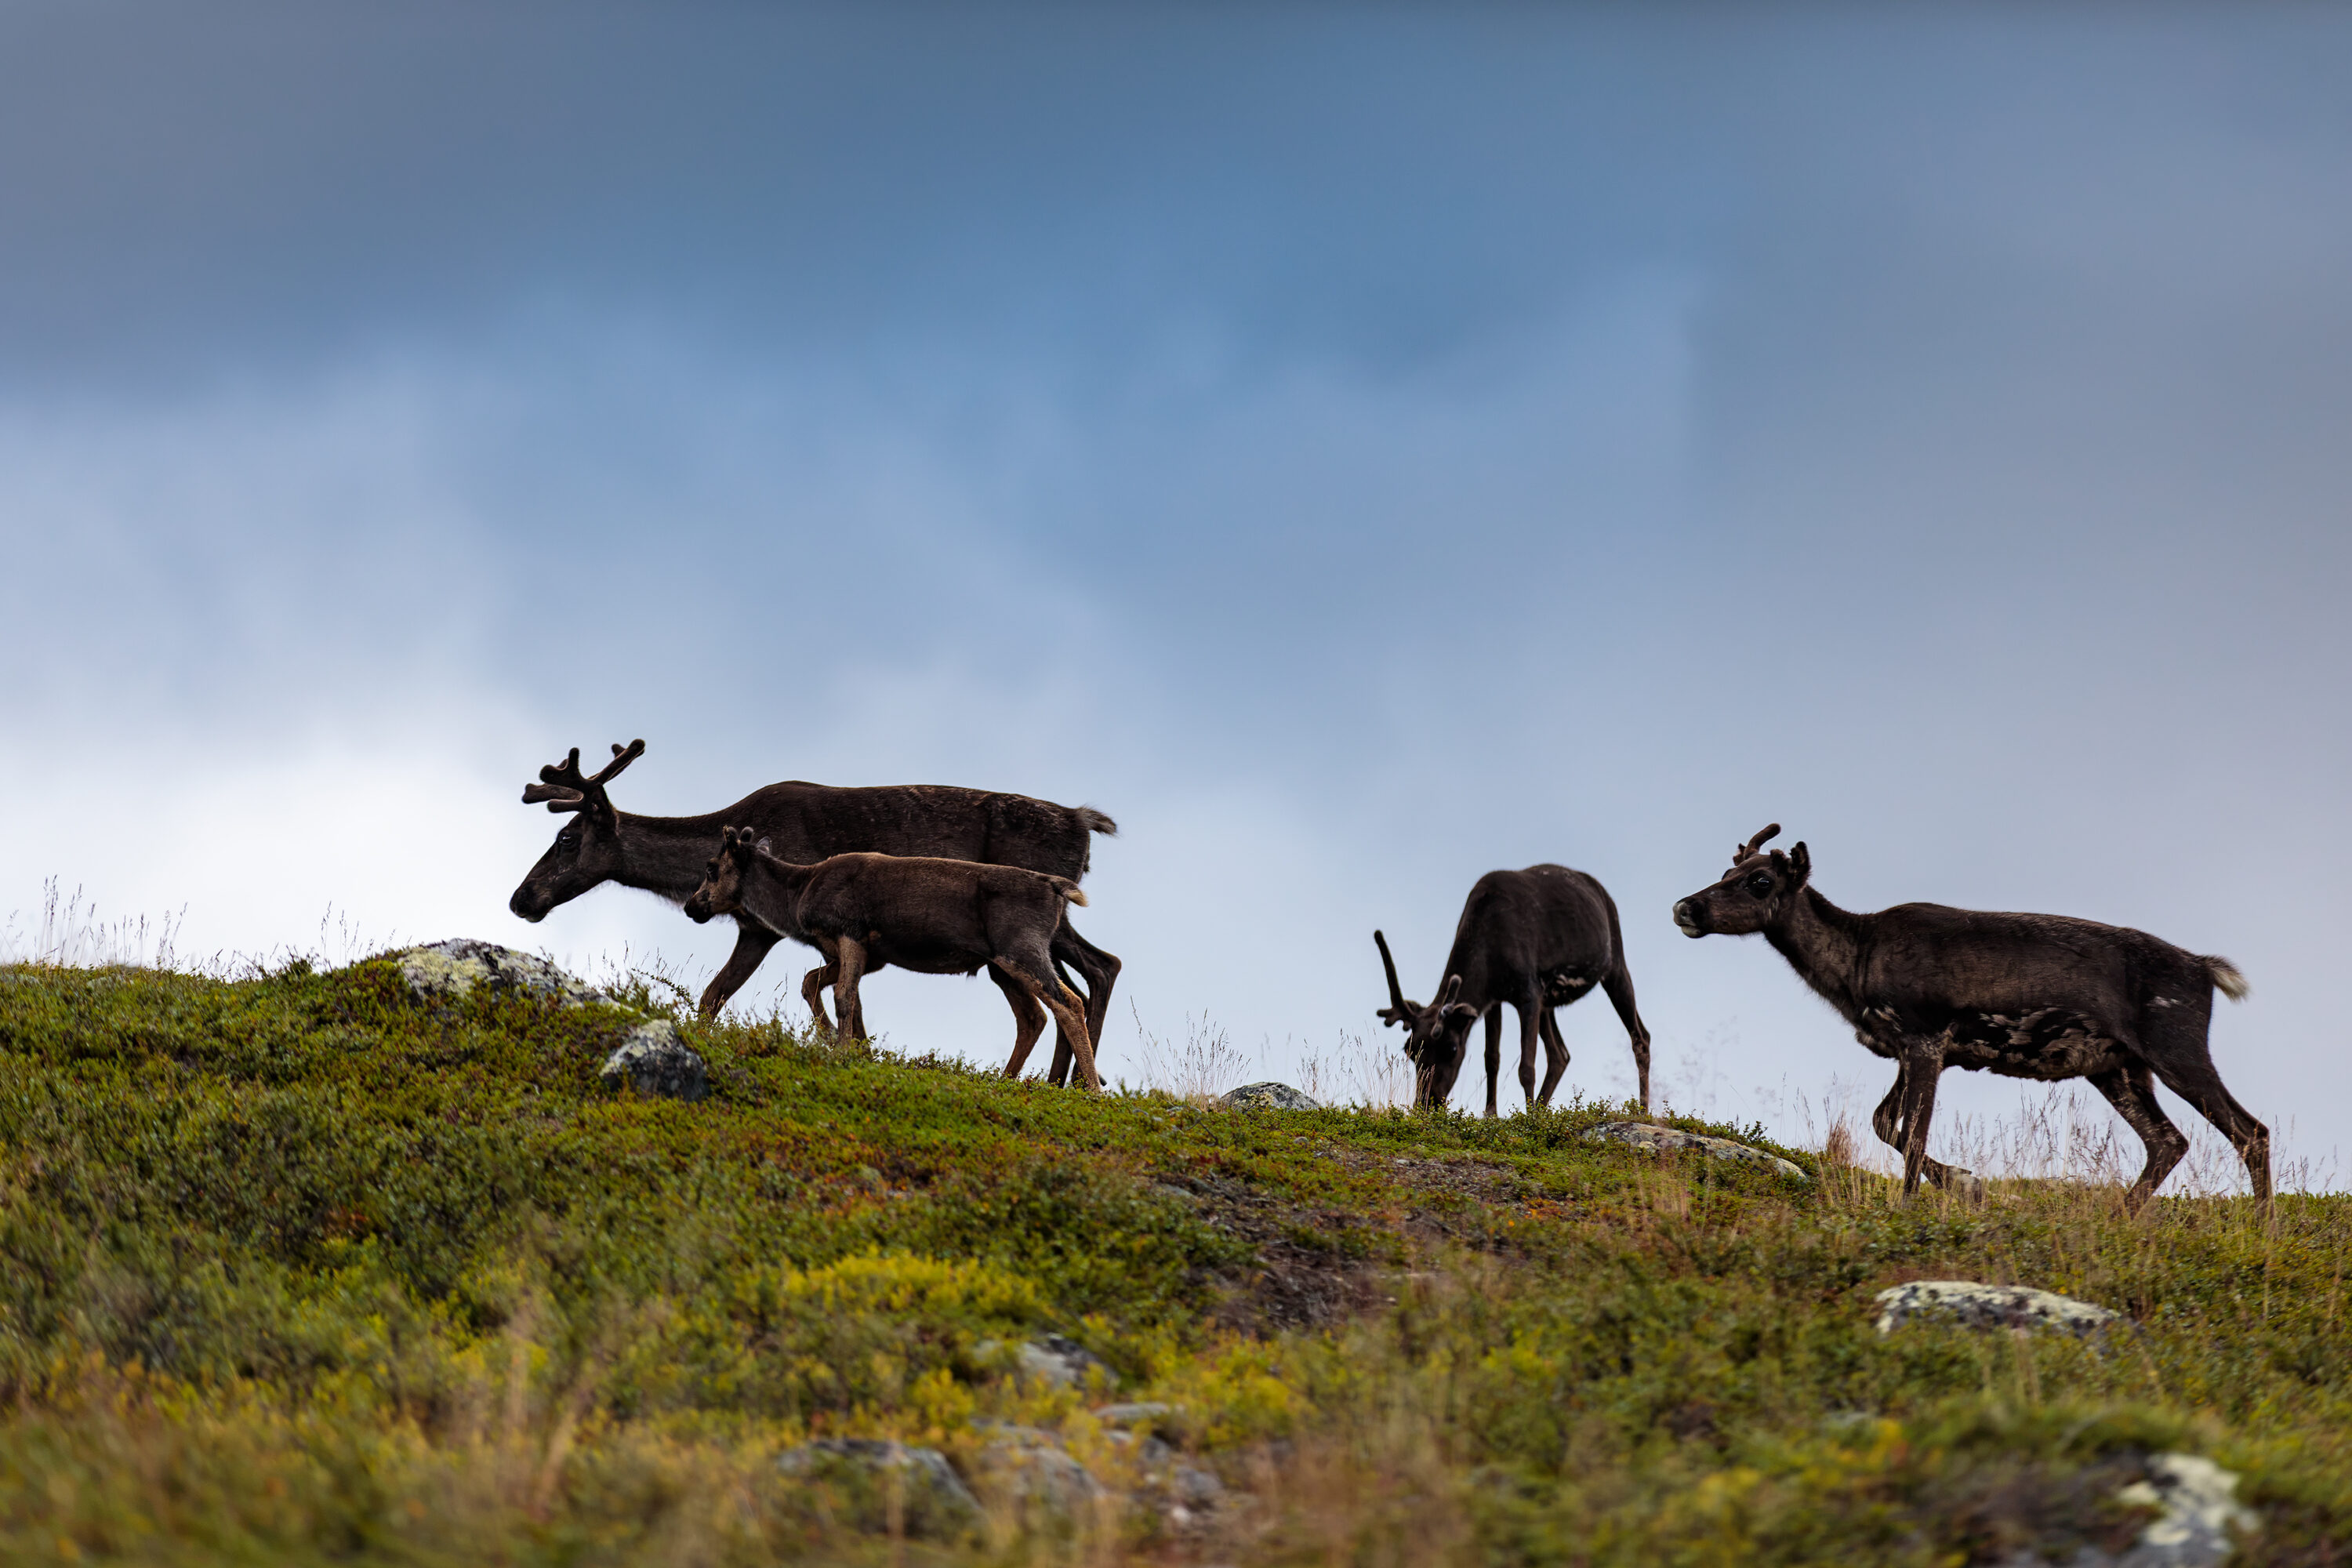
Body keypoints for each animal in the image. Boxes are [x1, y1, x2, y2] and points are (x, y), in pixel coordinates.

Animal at [683, 826, 1101, 1090]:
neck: (797, 895)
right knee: (1033, 1017)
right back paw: (1004, 1078)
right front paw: (843, 1043)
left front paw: (842, 1049)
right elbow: (817, 984)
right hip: (1002, 966)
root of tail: (1056, 889)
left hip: (1022, 950)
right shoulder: (870, 955)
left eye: (711, 868)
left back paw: (1093, 1089)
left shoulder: (850, 932)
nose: (691, 907)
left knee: (1069, 1003)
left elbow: (843, 996)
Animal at [1374, 864, 1653, 1116]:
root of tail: (1602, 892)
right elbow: (1491, 1058)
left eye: (1451, 1048)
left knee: (1640, 1037)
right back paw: (1543, 1108)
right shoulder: (1492, 1000)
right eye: (1410, 1050)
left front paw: (1528, 1119)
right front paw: (1491, 1113)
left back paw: (1642, 1110)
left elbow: (1526, 1067)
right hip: (1549, 1003)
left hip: (1615, 966)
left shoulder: (1528, 994)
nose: (1426, 1103)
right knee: (1560, 1054)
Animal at [1672, 824, 2268, 1211]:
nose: (1685, 907)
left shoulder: (1926, 1038)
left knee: (2250, 1131)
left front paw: (1913, 1205)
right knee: (2169, 1141)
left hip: (2175, 1044)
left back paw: (2265, 1232)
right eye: (1726, 869)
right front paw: (1965, 1183)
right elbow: (1884, 1124)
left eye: (1760, 882)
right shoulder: (1913, 1048)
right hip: (2116, 1067)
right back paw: (2120, 1216)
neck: (1855, 965)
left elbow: (1911, 1133)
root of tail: (2205, 970)